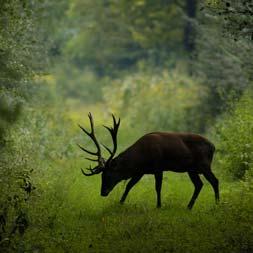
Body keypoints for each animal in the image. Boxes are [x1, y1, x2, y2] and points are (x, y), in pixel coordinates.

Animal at [78, 112, 218, 210]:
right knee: (199, 184)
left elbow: (158, 187)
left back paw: (217, 205)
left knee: (214, 181)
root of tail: (213, 146)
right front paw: (120, 203)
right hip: (191, 169)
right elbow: (129, 186)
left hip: (204, 164)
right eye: (102, 175)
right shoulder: (140, 171)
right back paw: (189, 207)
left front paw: (159, 206)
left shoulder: (158, 167)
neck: (140, 158)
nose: (103, 192)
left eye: (108, 175)